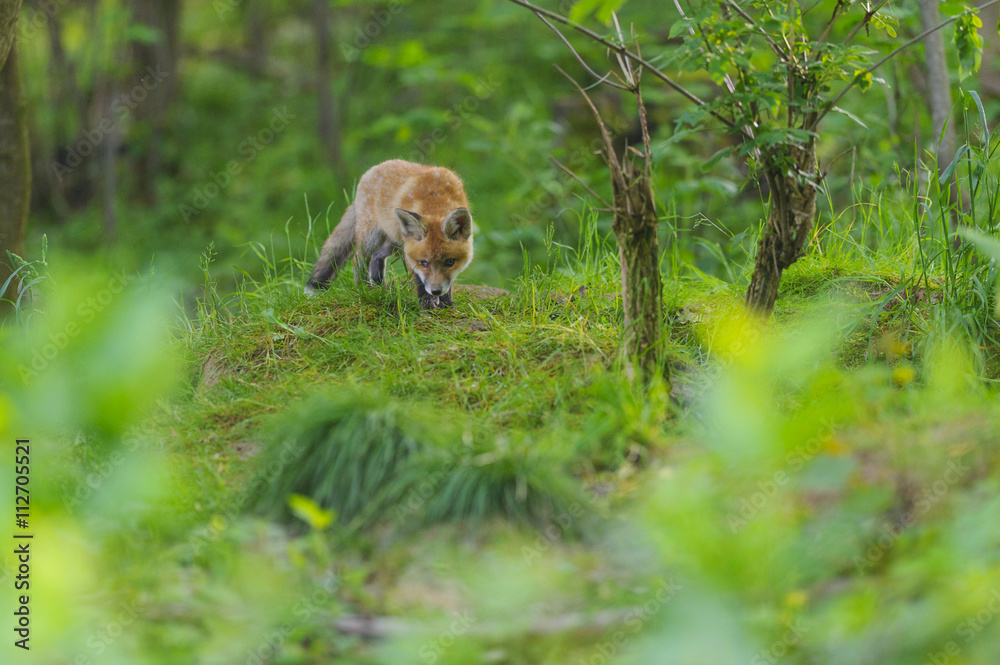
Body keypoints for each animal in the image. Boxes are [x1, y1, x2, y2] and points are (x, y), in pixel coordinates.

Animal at [305, 159, 474, 309]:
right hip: (372, 237)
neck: (436, 199)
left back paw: (380, 286)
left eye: (450, 262)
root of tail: (373, 169)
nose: (436, 291)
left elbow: (448, 283)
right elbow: (419, 280)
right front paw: (426, 303)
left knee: (377, 257)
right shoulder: (410, 255)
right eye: (424, 263)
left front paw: (446, 303)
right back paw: (364, 288)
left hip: (394, 242)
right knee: (358, 258)